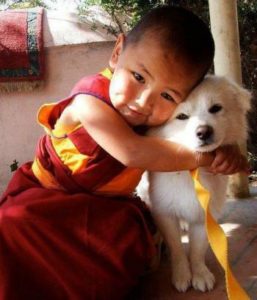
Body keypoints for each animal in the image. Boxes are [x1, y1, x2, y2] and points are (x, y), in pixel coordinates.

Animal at [138, 75, 250, 292]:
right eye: (182, 116)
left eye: (215, 108)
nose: (203, 132)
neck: (192, 170)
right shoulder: (165, 212)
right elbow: (177, 248)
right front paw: (182, 276)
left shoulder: (203, 214)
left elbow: (198, 249)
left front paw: (200, 275)